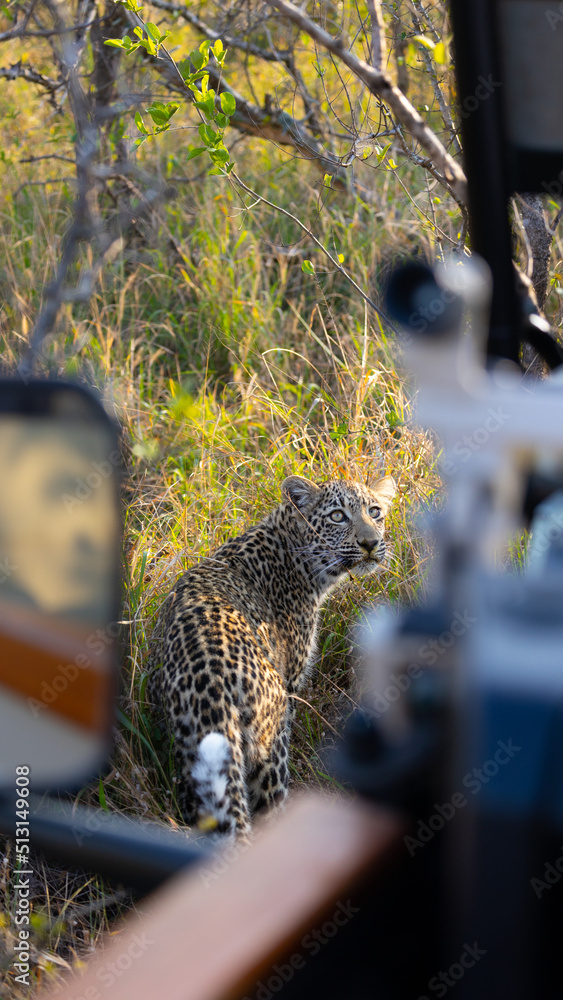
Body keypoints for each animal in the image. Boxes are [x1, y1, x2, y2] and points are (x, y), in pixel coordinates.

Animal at [147, 473, 396, 839]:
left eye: (375, 512)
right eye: (337, 516)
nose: (370, 543)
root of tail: (212, 680)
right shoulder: (291, 684)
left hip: (190, 753)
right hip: (270, 741)